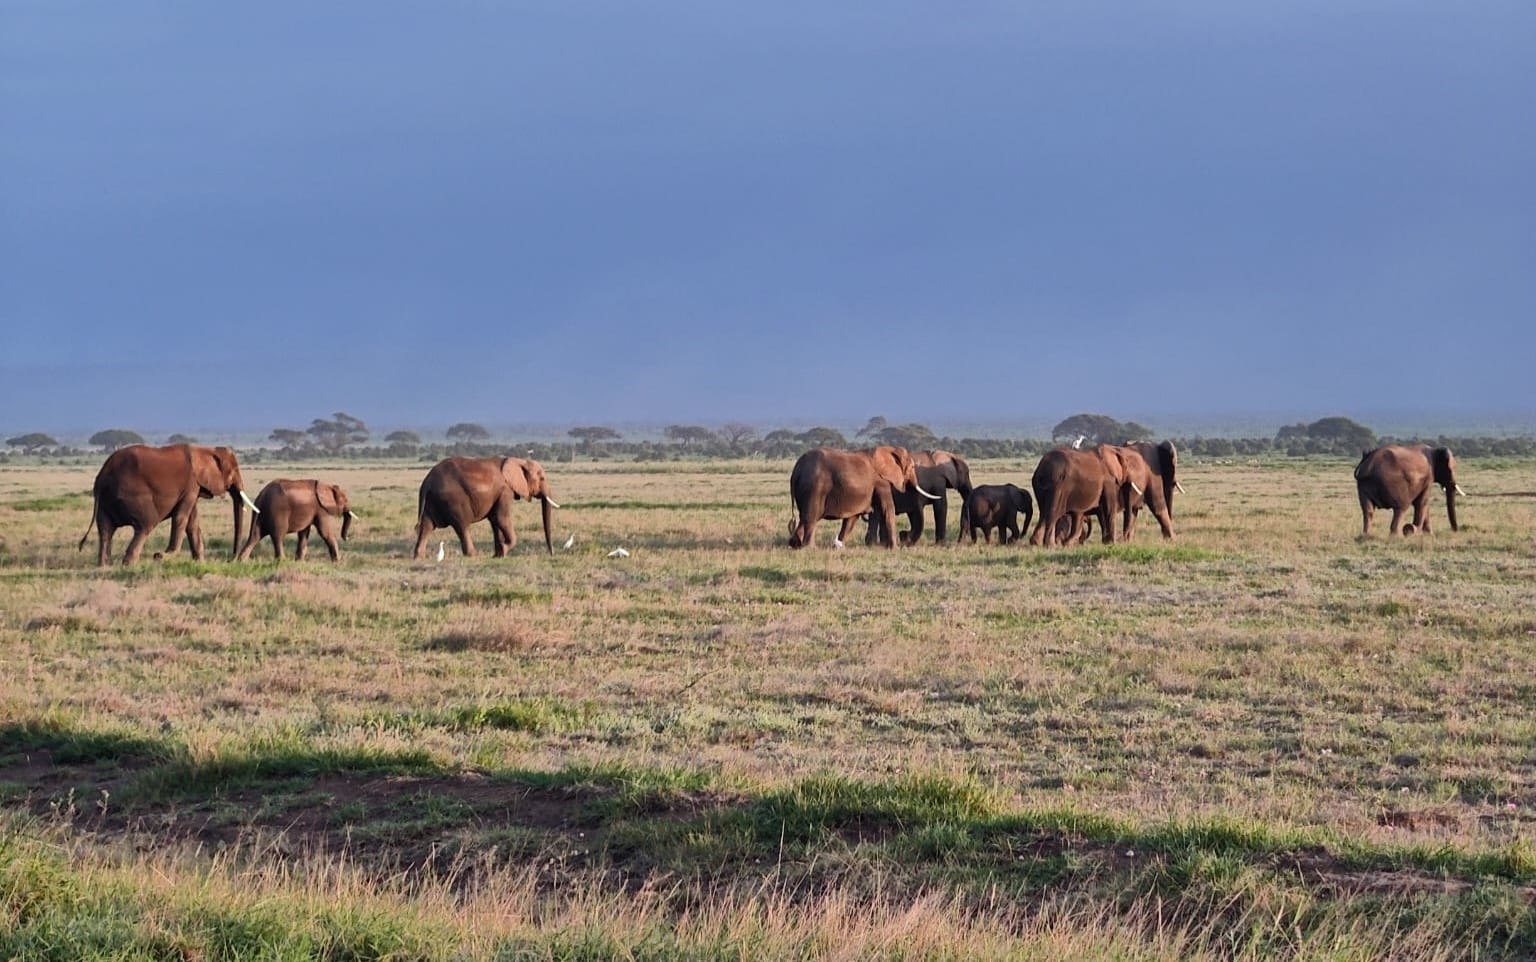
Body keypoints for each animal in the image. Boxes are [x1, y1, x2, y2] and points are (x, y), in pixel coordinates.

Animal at [76, 442, 256, 562]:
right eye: (233, 471)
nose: (231, 559)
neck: (204, 449)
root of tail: (102, 477)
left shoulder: (193, 488)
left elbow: (192, 523)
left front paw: (199, 562)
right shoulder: (191, 484)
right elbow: (181, 518)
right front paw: (163, 555)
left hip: (105, 502)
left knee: (105, 530)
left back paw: (104, 566)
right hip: (132, 495)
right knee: (145, 525)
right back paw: (129, 565)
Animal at [411, 454, 562, 559]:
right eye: (542, 478)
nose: (552, 553)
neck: (518, 460)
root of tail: (427, 481)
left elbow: (495, 520)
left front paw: (498, 555)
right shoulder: (505, 490)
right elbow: (501, 518)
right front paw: (504, 549)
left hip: (432, 500)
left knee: (426, 526)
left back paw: (419, 557)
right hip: (453, 499)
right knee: (462, 525)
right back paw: (472, 555)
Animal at [786, 442, 940, 547]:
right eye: (912, 467)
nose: (904, 535)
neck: (888, 449)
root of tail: (796, 469)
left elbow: (852, 518)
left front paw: (839, 546)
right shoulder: (881, 482)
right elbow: (888, 509)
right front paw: (895, 548)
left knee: (803, 517)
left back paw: (795, 544)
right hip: (815, 487)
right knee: (811, 517)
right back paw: (810, 547)